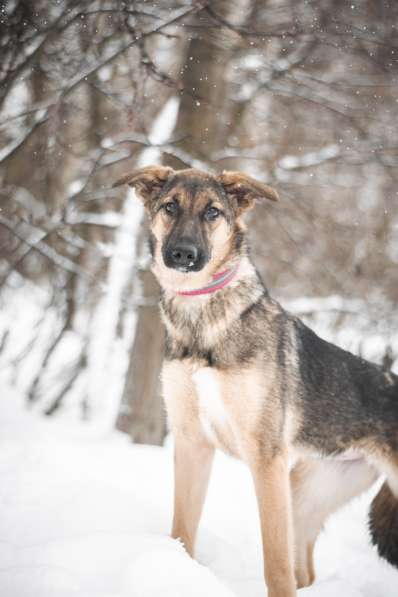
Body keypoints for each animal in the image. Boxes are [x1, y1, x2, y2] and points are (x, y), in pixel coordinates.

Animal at [112, 166, 398, 596]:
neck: (204, 321)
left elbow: (276, 567)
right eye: (170, 207)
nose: (183, 255)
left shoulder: (266, 459)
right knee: (305, 571)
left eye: (213, 212)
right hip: (305, 493)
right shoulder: (192, 443)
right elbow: (183, 531)